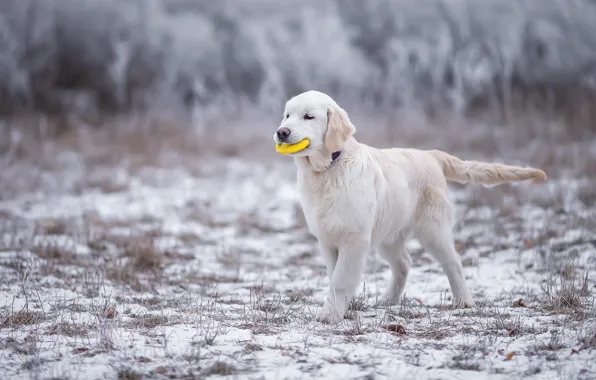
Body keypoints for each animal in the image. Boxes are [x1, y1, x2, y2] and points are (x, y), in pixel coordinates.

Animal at [272, 90, 548, 324]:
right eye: (287, 115)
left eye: (309, 116)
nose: (282, 132)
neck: (327, 170)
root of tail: (431, 155)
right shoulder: (328, 239)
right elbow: (334, 276)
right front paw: (338, 309)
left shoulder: (354, 238)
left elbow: (340, 280)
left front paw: (329, 315)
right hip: (389, 233)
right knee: (404, 263)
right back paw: (389, 299)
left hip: (432, 230)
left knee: (453, 262)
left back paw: (464, 301)